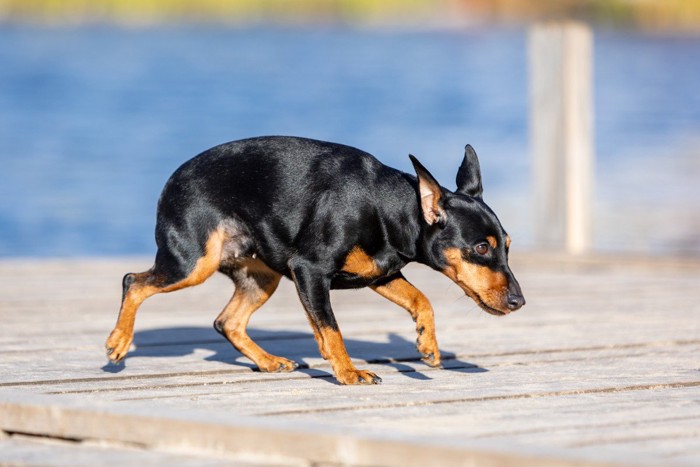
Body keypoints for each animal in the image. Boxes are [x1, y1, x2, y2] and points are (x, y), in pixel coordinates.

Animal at [106, 137, 524, 386]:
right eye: (481, 248)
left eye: (506, 245)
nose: (519, 302)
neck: (386, 205)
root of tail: (172, 181)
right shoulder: (310, 271)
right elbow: (331, 330)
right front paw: (349, 373)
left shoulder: (381, 273)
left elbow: (422, 300)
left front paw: (427, 345)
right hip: (193, 263)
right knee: (133, 281)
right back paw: (118, 343)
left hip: (261, 277)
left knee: (227, 321)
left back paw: (269, 362)